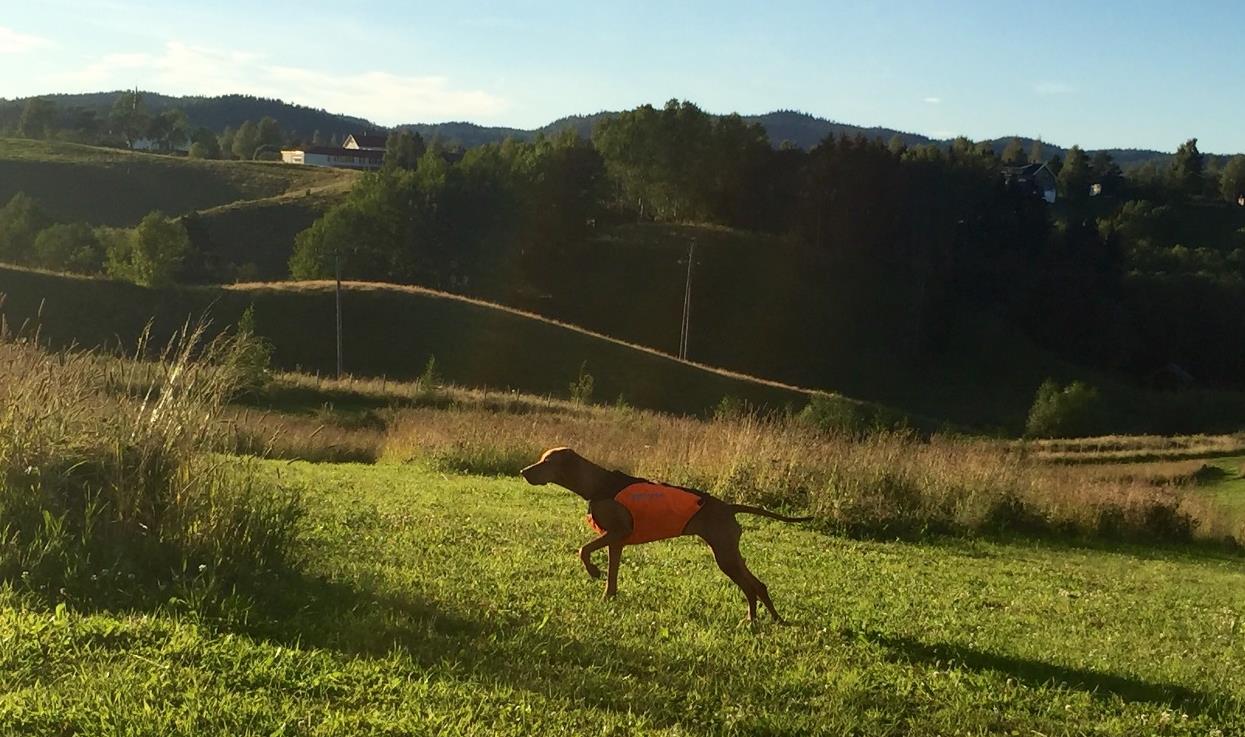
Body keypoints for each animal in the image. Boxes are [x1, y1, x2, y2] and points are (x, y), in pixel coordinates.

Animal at [520, 448, 811, 622]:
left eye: (547, 462)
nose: (523, 471)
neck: (598, 484)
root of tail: (728, 506)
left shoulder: (618, 531)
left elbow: (583, 550)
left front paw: (593, 572)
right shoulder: (617, 541)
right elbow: (612, 575)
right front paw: (608, 597)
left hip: (724, 555)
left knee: (750, 586)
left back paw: (753, 620)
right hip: (729, 551)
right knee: (758, 585)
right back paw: (771, 619)